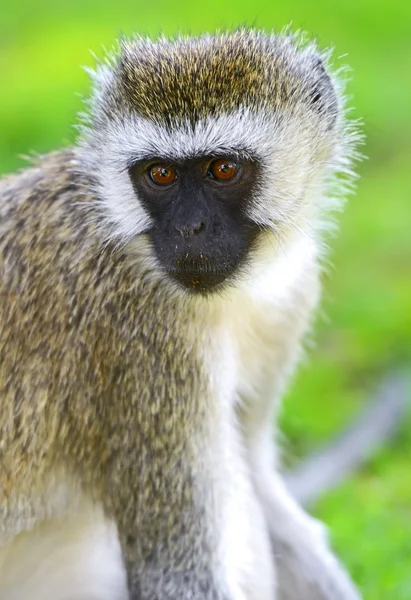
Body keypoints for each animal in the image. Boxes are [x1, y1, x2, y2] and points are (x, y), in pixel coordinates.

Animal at [0, 29, 362, 600]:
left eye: (223, 169)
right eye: (161, 174)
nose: (190, 228)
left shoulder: (289, 297)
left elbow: (260, 479)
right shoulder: (144, 346)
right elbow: (176, 575)